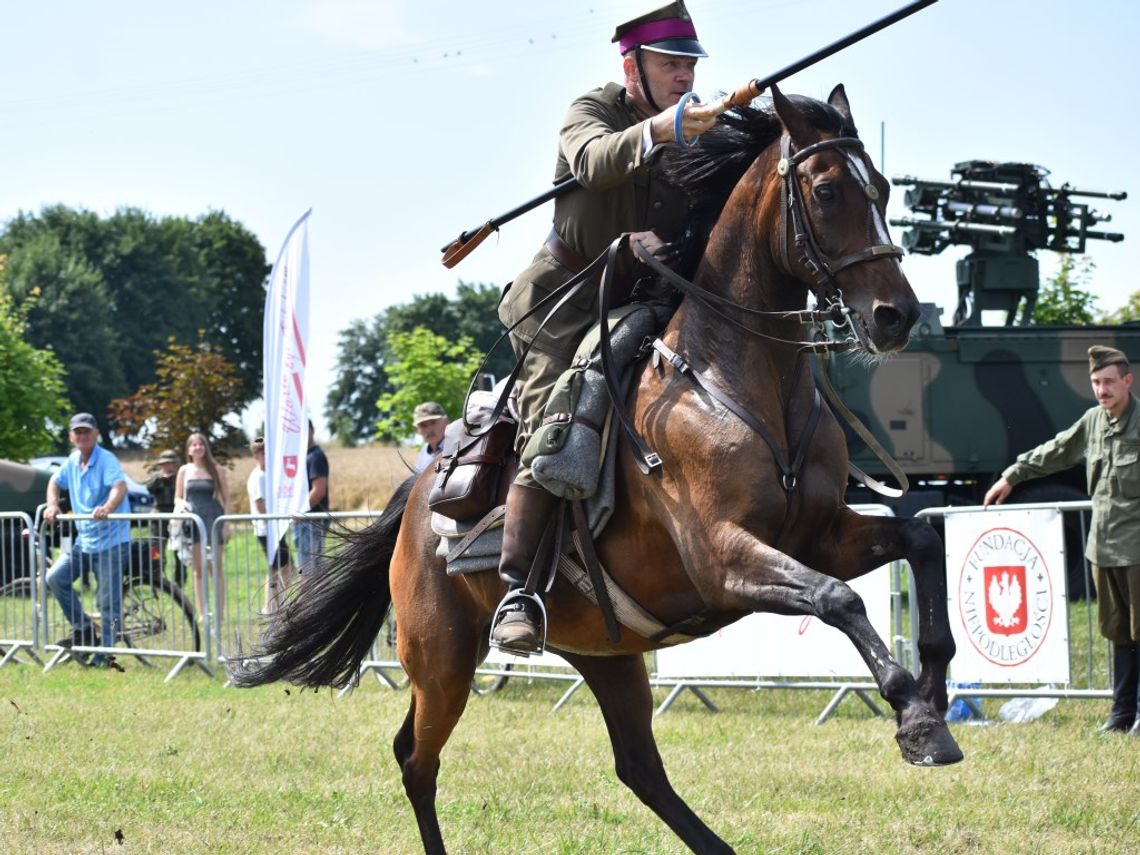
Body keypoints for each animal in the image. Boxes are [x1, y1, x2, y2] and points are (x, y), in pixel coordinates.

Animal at [238, 88, 962, 855]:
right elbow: (838, 599)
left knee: (639, 768)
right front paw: (917, 719)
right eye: (826, 191)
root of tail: (418, 499)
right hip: (442, 661)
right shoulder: (724, 558)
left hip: (606, 654)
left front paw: (936, 690)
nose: (895, 315)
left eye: (882, 189)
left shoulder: (821, 534)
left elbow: (920, 542)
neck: (732, 375)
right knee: (416, 758)